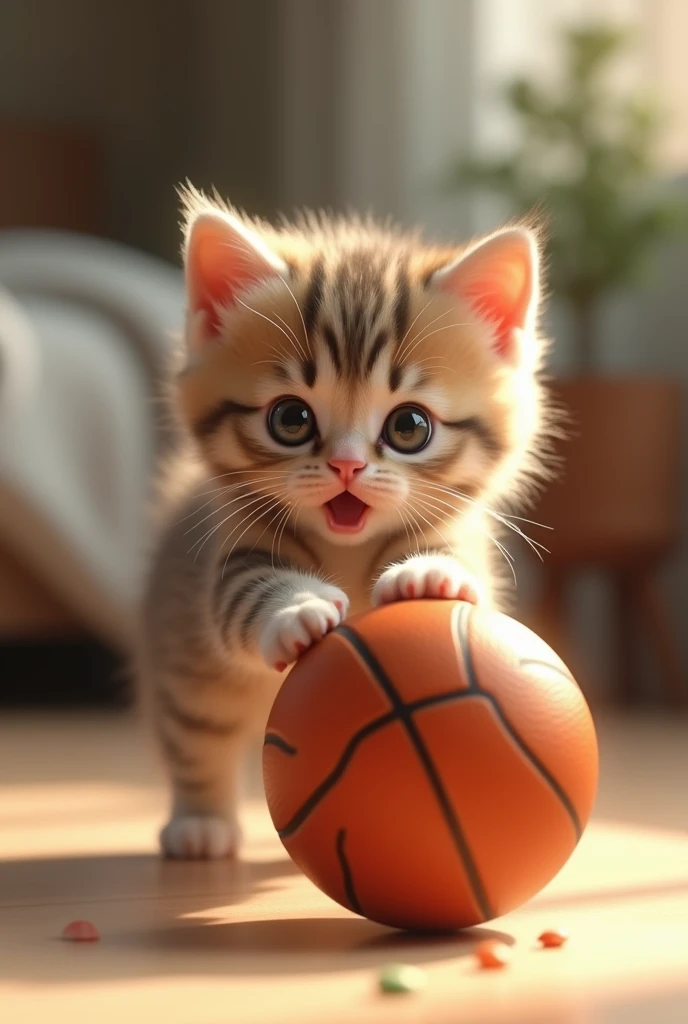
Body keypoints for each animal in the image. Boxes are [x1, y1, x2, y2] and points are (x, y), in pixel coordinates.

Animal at [139, 186, 548, 864]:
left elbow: (458, 567)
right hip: (185, 667)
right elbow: (248, 595)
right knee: (197, 737)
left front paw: (429, 577)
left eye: (410, 426)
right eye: (290, 419)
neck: (348, 551)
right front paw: (296, 612)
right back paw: (200, 824)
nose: (347, 465)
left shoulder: (462, 534)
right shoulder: (235, 554)